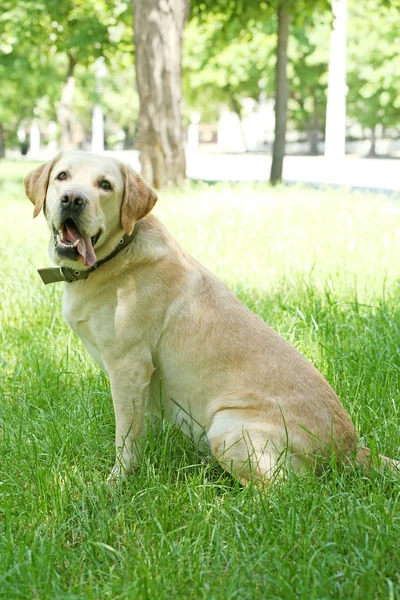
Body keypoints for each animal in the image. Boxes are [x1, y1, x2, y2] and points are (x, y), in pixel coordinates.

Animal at [24, 152, 396, 486]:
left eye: (105, 185)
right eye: (62, 177)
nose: (73, 199)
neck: (116, 254)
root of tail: (350, 448)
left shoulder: (130, 366)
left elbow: (126, 438)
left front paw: (116, 483)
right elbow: (143, 424)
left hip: (227, 427)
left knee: (282, 491)